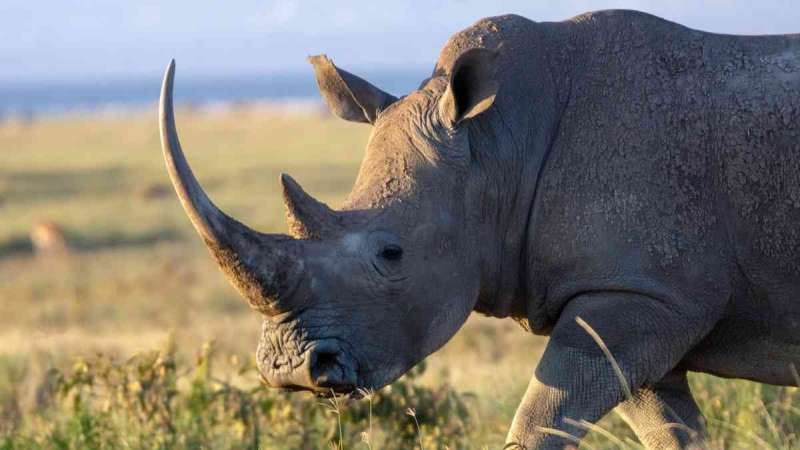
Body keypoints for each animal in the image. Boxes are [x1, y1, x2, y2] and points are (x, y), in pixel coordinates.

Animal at [159, 9, 800, 449]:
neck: (495, 148)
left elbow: (542, 416)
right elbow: (668, 430)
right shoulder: (635, 295)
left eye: (391, 253)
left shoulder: (647, 294)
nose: (290, 369)